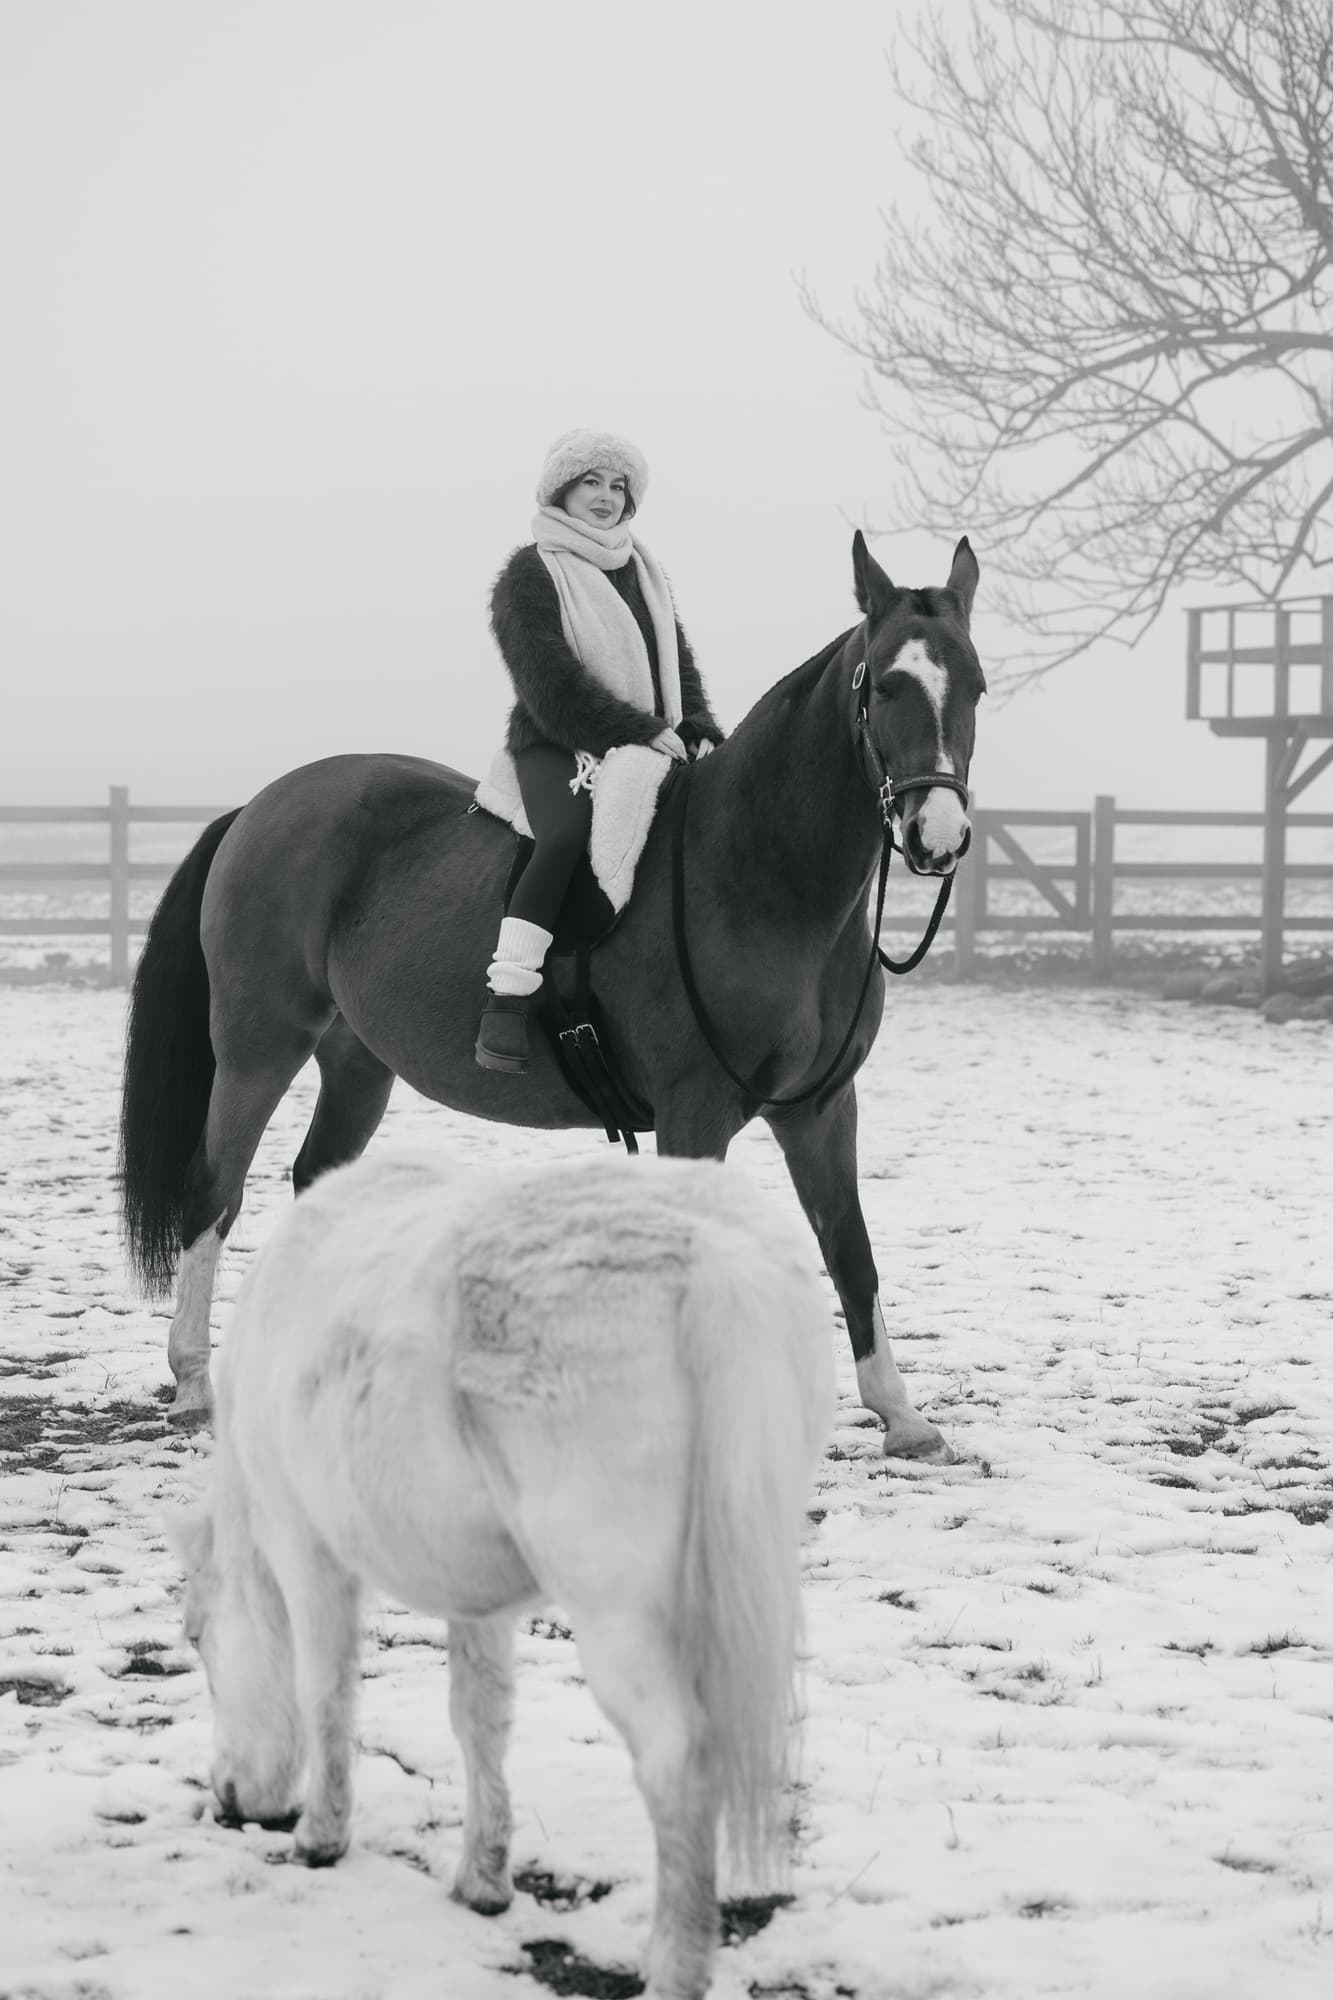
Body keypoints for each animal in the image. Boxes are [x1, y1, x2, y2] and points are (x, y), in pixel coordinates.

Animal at [121, 529, 984, 1453]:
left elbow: (848, 1246)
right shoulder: (695, 1110)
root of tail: (259, 805)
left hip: (356, 1062)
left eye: (974, 685)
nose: (937, 837)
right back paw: (194, 1384)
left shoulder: (820, 1109)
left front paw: (900, 1414)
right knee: (214, 1188)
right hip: (259, 1046)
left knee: (315, 1181)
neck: (759, 871)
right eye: (886, 684)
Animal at [170, 1148, 834, 2000]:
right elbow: (480, 1718)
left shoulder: (304, 1548)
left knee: (676, 1760)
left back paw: (673, 1967)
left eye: (197, 1638)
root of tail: (715, 1254)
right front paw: (483, 1879)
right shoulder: (475, 1597)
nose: (227, 1796)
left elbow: (324, 1690)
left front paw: (322, 1835)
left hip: (616, 1602)